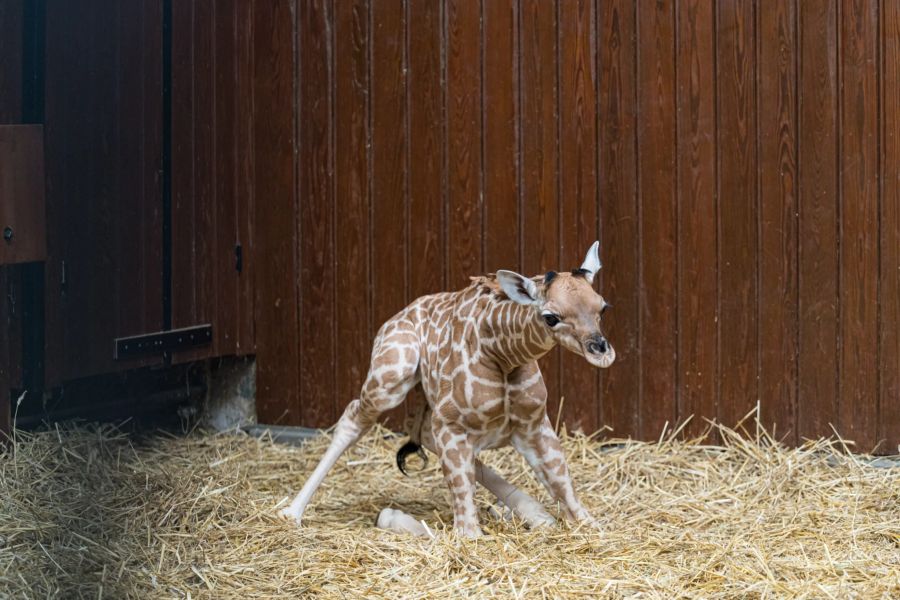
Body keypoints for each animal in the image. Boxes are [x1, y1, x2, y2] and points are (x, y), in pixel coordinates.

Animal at [282, 241, 616, 536]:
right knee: (354, 418)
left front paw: (570, 522)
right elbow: (465, 531)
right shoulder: (452, 424)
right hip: (390, 374)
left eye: (602, 306)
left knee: (422, 431)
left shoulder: (533, 423)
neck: (503, 354)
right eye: (550, 317)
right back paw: (291, 512)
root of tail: (392, 320)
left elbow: (562, 483)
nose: (601, 351)